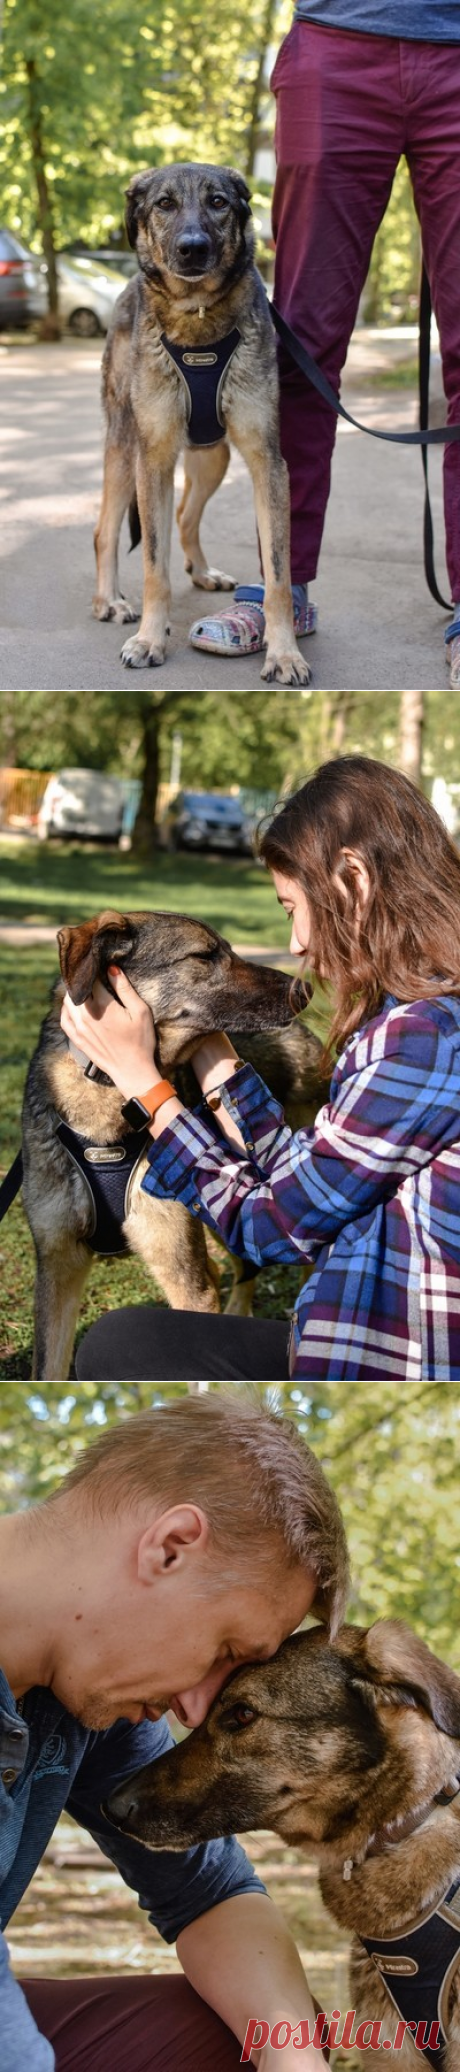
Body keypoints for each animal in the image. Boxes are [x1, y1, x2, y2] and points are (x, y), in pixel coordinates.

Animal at [92, 167, 308, 687]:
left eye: (218, 202)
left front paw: (285, 653)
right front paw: (150, 639)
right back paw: (109, 601)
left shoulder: (268, 464)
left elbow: (278, 576)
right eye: (165, 204)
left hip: (214, 457)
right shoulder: (153, 461)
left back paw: (202, 572)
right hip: (125, 451)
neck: (198, 315)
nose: (192, 248)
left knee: (185, 516)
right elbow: (154, 567)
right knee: (105, 530)